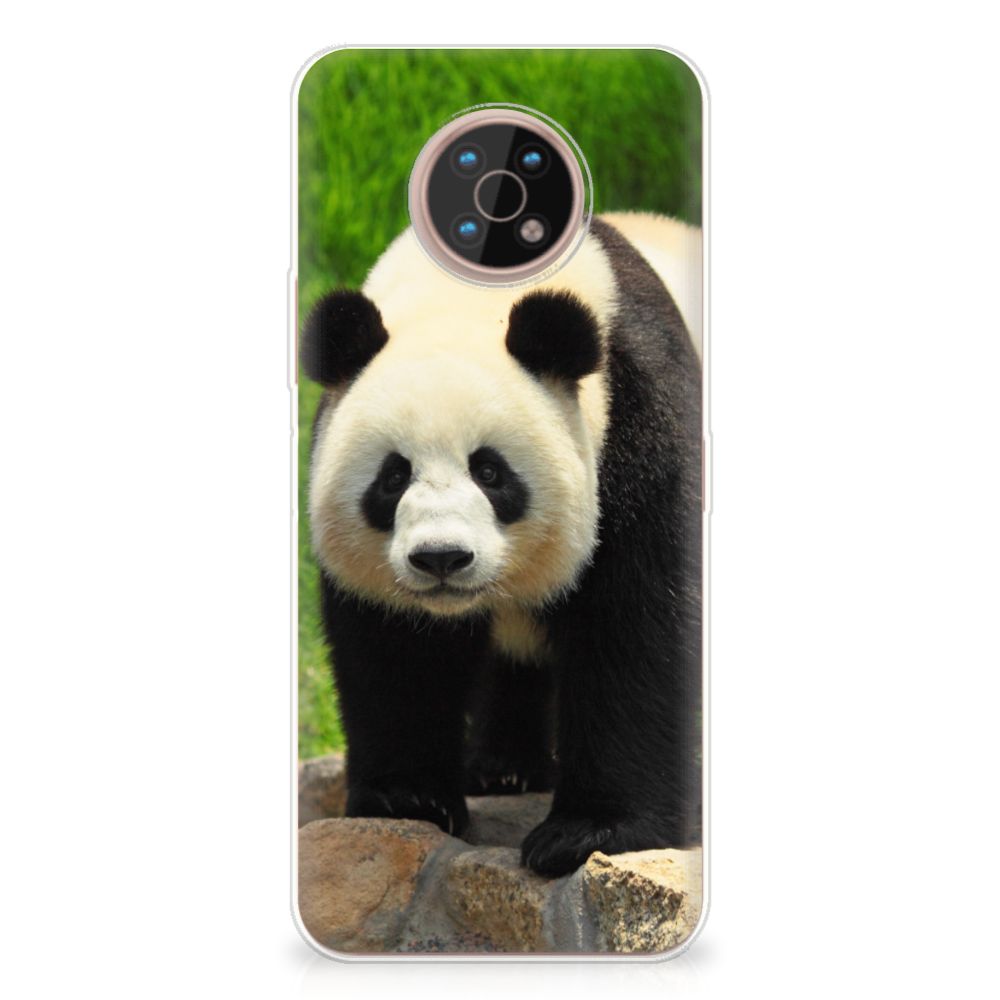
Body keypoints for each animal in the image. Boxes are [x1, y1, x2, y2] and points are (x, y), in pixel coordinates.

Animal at [302, 212, 703, 877]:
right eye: (393, 476)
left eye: (490, 472)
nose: (441, 558)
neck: (469, 291)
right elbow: (394, 649)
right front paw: (408, 798)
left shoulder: (638, 420)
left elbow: (637, 624)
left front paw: (588, 832)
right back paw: (503, 769)